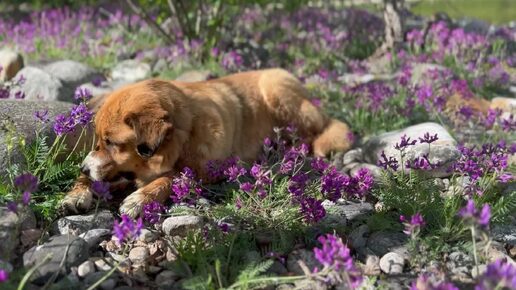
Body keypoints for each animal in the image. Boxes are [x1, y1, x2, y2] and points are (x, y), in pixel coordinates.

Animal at [59, 68, 350, 218]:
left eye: (112, 142)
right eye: (99, 141)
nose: (84, 167)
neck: (186, 133)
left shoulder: (201, 171)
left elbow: (169, 178)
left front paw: (140, 199)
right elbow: (90, 180)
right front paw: (76, 192)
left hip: (279, 94)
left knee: (322, 129)